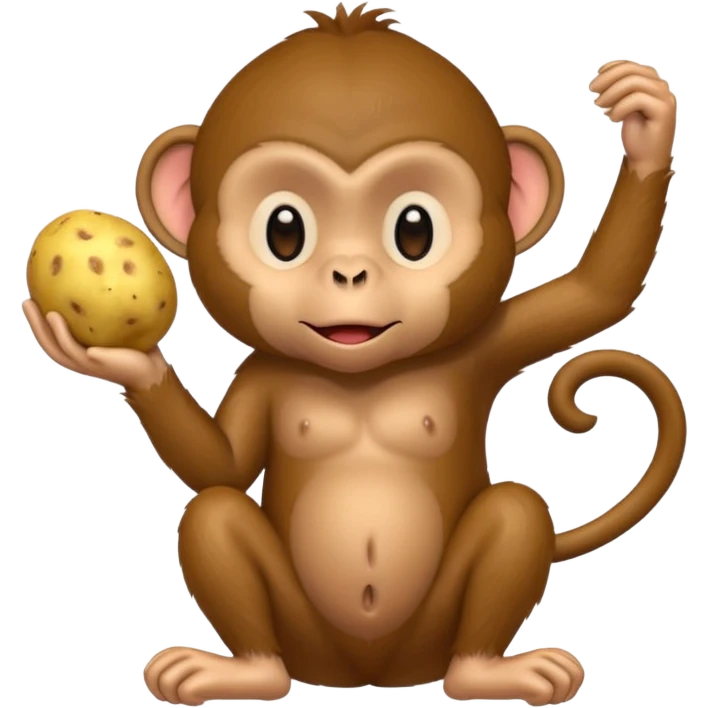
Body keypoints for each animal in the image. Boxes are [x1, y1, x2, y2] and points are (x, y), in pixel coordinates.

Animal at [22, 2, 685, 706]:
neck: (360, 372)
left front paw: (647, 126)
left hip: (430, 633)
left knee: (517, 511)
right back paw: (247, 671)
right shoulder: (263, 372)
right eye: (284, 231)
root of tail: (369, 677)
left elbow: (599, 292)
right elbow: (221, 466)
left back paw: (485, 671)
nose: (347, 273)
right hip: (305, 636)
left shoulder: (485, 343)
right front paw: (130, 363)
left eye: (414, 230)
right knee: (214, 513)